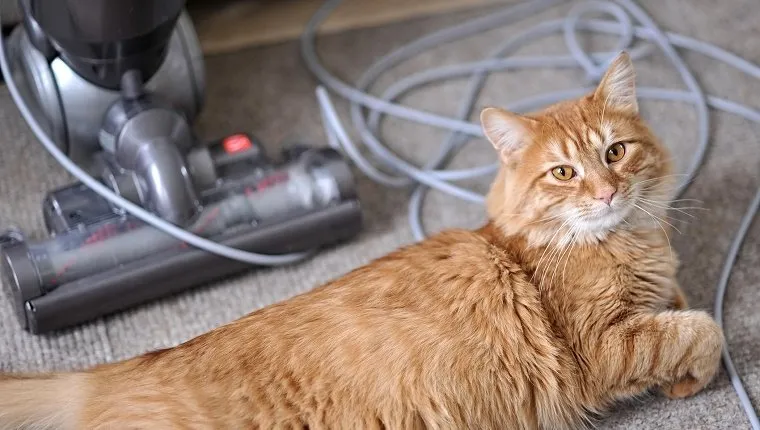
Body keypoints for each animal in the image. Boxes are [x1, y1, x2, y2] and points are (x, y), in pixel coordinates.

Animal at [0, 53, 724, 430]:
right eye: (564, 173)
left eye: (615, 153)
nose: (605, 192)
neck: (624, 242)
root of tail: (116, 373)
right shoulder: (598, 345)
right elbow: (701, 329)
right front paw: (694, 375)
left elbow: (681, 302)